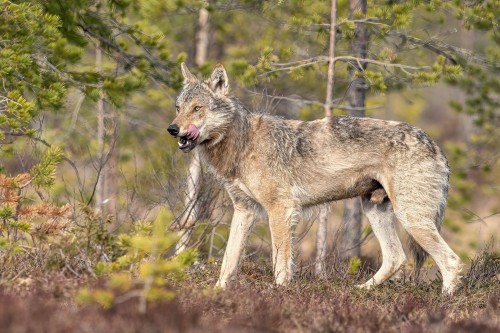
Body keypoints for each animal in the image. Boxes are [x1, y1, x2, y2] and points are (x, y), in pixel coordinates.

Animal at [167, 63, 460, 294]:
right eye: (179, 107)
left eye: (197, 108)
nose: (172, 129)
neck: (241, 145)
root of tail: (436, 146)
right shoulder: (244, 210)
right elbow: (228, 261)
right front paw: (217, 292)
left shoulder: (281, 211)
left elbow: (280, 265)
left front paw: (278, 294)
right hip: (375, 210)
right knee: (396, 258)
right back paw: (360, 291)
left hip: (411, 218)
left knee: (451, 261)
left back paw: (445, 304)